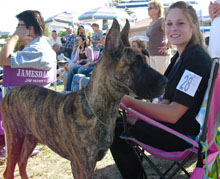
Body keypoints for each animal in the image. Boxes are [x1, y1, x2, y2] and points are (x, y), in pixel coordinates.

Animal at [1, 18, 167, 178]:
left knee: (22, 163)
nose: (165, 81)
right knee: (9, 171)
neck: (99, 109)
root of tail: (10, 92)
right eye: (136, 63)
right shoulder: (81, 166)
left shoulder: (90, 164)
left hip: (30, 138)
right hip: (15, 138)